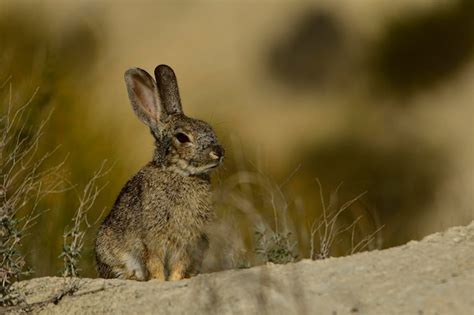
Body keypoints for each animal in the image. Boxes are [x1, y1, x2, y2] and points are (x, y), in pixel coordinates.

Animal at [95, 65, 225, 282]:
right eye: (182, 137)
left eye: (209, 128)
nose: (219, 152)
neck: (179, 174)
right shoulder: (151, 239)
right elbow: (154, 262)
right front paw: (158, 280)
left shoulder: (187, 243)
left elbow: (179, 265)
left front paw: (175, 280)